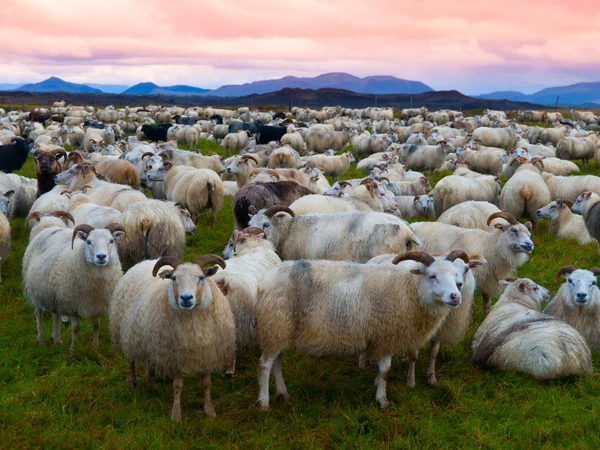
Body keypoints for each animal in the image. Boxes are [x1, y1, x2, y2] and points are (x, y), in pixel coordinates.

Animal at [109, 255, 236, 420]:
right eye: (174, 278)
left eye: (201, 277)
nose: (186, 298)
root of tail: (146, 261)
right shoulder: (175, 356)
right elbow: (178, 386)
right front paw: (176, 414)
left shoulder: (206, 354)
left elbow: (206, 384)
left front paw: (209, 411)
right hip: (127, 334)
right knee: (131, 360)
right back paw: (133, 382)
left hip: (151, 340)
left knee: (150, 361)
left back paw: (151, 383)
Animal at [255, 251, 466, 410]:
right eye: (432, 276)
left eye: (456, 276)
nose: (455, 296)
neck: (409, 290)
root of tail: (265, 279)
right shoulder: (386, 336)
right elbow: (385, 370)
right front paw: (382, 400)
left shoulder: (381, 338)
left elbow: (381, 370)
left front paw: (377, 385)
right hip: (275, 326)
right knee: (265, 365)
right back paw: (264, 402)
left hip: (279, 331)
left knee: (276, 362)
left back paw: (283, 393)